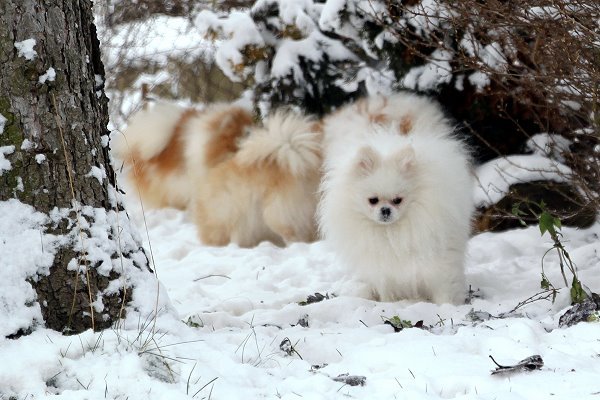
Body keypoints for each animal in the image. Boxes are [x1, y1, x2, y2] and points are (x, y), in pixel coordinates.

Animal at [318, 92, 474, 304]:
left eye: (398, 200)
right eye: (373, 200)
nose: (385, 210)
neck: (392, 232)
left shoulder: (438, 259)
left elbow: (443, 285)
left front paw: (447, 306)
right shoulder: (383, 267)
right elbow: (386, 287)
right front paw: (389, 303)